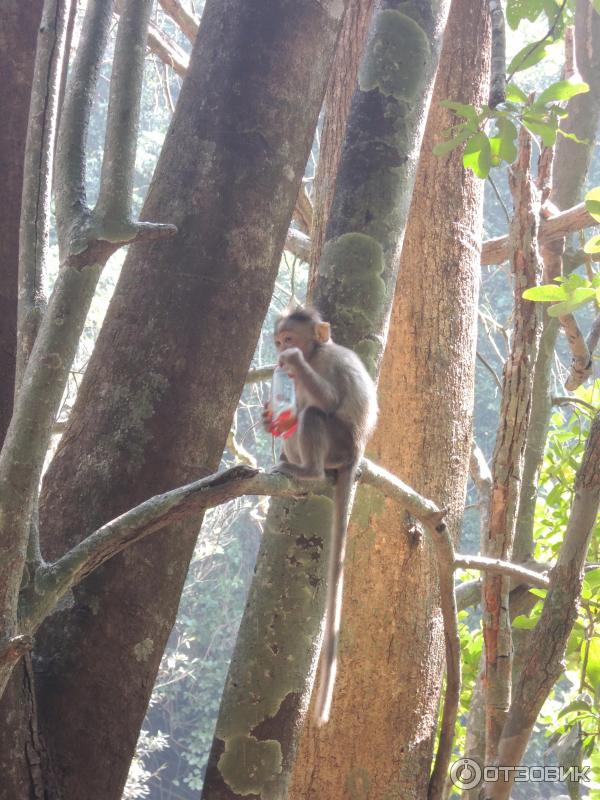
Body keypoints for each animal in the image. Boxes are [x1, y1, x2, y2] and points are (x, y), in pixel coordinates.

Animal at [264, 306, 378, 724]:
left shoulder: (330, 362)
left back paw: (309, 472)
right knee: (299, 417)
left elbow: (328, 401)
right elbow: (291, 410)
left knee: (314, 413)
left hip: (341, 443)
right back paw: (293, 462)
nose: (282, 354)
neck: (316, 355)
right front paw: (270, 416)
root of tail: (356, 453)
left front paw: (296, 366)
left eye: (289, 340)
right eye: (278, 341)